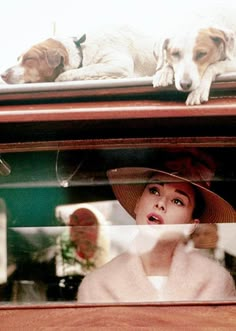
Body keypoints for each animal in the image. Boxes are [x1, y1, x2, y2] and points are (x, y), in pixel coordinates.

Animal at [1, 26, 159, 85]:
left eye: (29, 59)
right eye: (18, 59)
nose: (2, 75)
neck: (80, 50)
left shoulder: (119, 64)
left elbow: (85, 69)